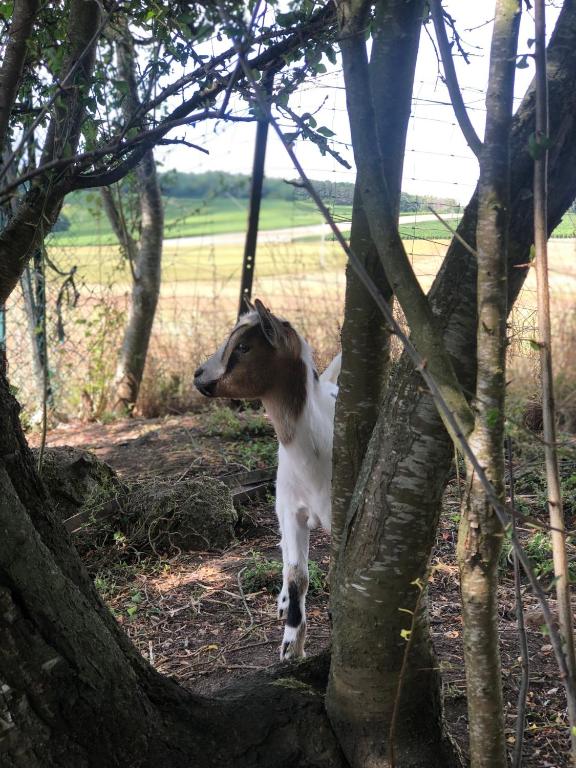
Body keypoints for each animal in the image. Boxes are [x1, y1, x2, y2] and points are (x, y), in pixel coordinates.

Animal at [195, 300, 338, 660]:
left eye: (244, 347)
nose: (198, 375)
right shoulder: (290, 508)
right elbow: (297, 574)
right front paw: (291, 647)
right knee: (285, 551)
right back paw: (284, 601)